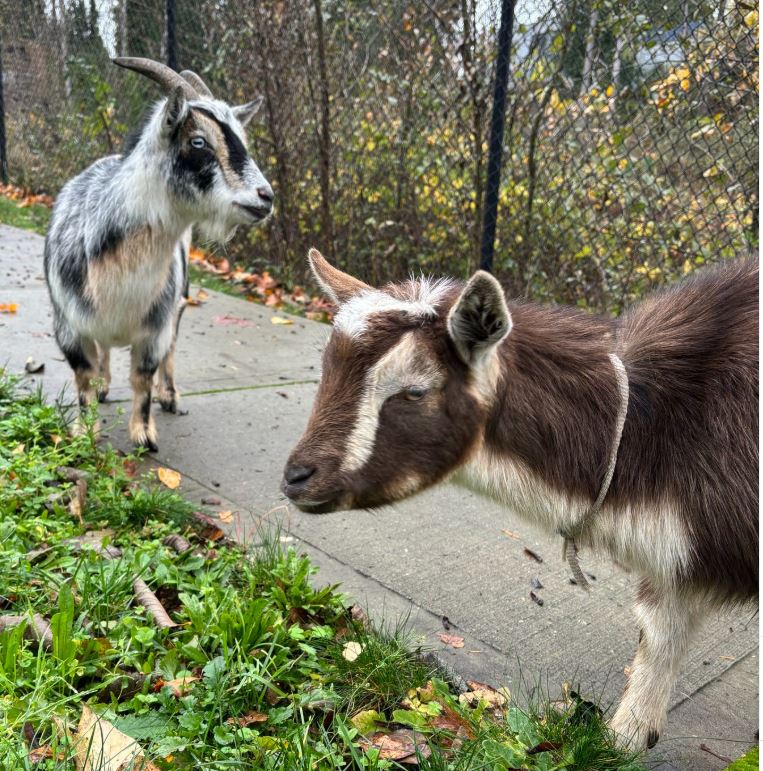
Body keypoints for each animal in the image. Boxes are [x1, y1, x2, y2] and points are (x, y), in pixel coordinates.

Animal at [44, 58, 272, 452]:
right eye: (198, 141)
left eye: (242, 140)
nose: (265, 197)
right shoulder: (67, 324)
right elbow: (84, 376)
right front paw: (85, 431)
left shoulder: (156, 327)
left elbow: (142, 377)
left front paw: (144, 434)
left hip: (179, 300)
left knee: (171, 350)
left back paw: (170, 396)